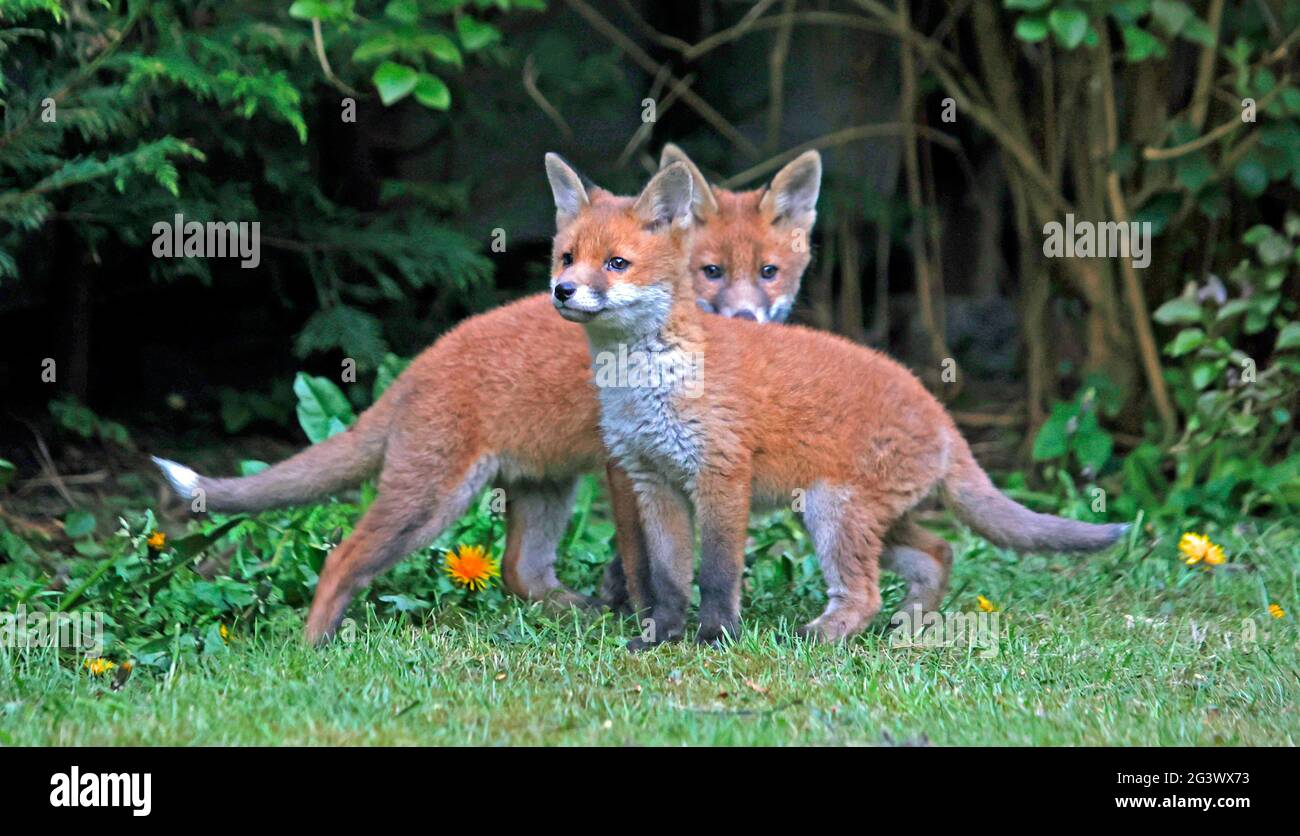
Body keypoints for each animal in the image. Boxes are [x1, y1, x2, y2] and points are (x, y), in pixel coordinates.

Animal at [154, 145, 821, 642]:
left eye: (768, 273)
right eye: (711, 272)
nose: (745, 317)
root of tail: (420, 362)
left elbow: (640, 562)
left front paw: (632, 611)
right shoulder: (621, 464)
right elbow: (642, 562)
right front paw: (648, 620)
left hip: (544, 488)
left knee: (516, 572)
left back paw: (569, 610)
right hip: (429, 502)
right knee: (343, 558)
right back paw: (315, 648)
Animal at [543, 153, 1123, 647]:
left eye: (616, 263)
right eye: (567, 258)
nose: (562, 290)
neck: (644, 384)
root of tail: (941, 413)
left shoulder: (720, 476)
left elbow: (717, 575)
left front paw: (715, 638)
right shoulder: (651, 480)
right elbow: (667, 579)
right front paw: (660, 637)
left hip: (834, 513)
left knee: (867, 593)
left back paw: (822, 635)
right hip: (846, 517)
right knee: (938, 553)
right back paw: (908, 627)